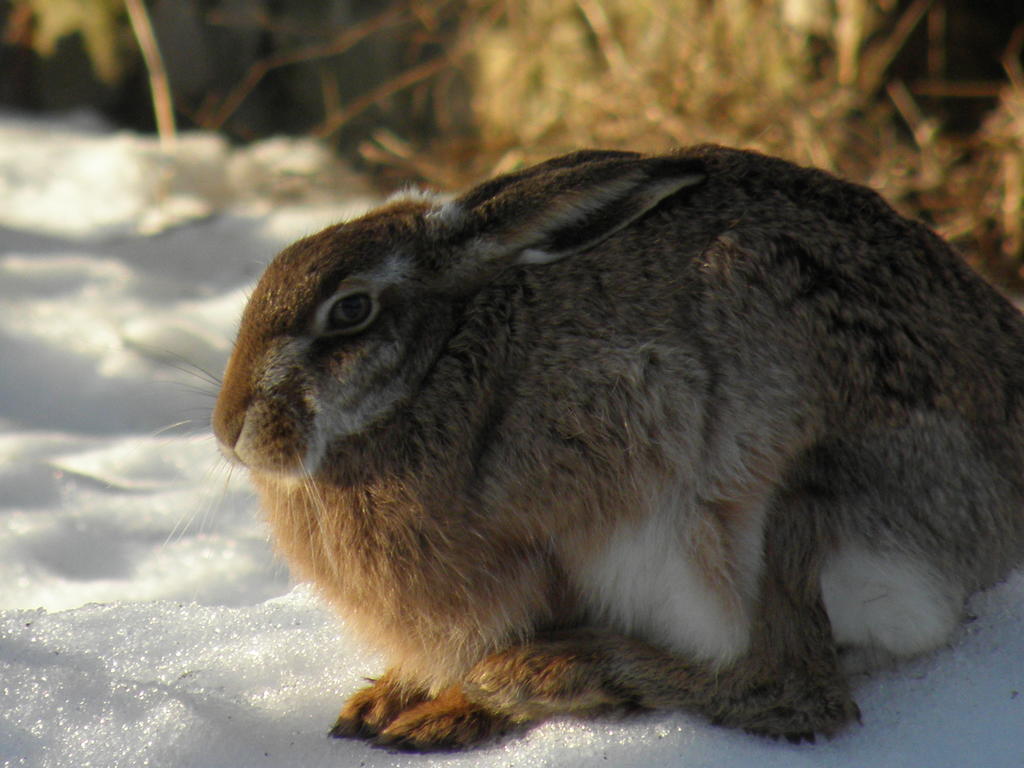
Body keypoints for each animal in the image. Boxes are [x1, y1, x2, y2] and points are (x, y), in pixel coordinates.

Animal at [212, 145, 1024, 751]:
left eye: (350, 310)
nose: (230, 432)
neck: (440, 359)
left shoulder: (546, 551)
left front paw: (448, 712)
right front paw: (383, 698)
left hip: (774, 506)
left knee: (794, 689)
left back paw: (544, 673)